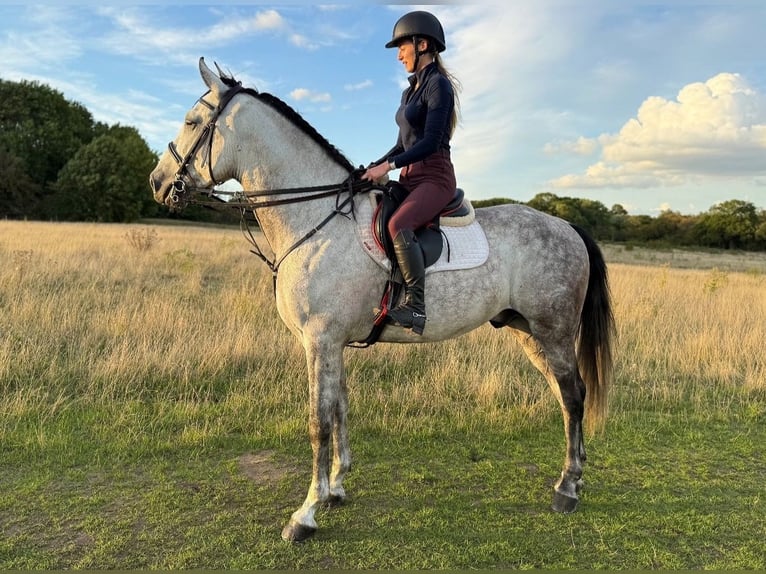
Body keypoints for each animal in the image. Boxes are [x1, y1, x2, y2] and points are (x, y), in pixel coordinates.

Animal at [150, 57, 615, 543]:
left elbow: (318, 421)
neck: (317, 217)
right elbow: (339, 409)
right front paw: (335, 488)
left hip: (553, 332)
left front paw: (305, 514)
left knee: (574, 395)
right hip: (529, 333)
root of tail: (568, 227)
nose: (157, 183)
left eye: (192, 122)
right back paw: (571, 478)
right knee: (564, 395)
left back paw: (568, 489)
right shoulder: (331, 343)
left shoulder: (320, 340)